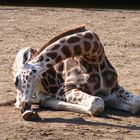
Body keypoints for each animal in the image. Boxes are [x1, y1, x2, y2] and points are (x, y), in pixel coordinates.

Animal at [12, 25, 140, 120]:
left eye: (16, 81)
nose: (23, 106)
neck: (95, 57)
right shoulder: (64, 89)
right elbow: (97, 103)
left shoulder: (114, 89)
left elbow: (136, 102)